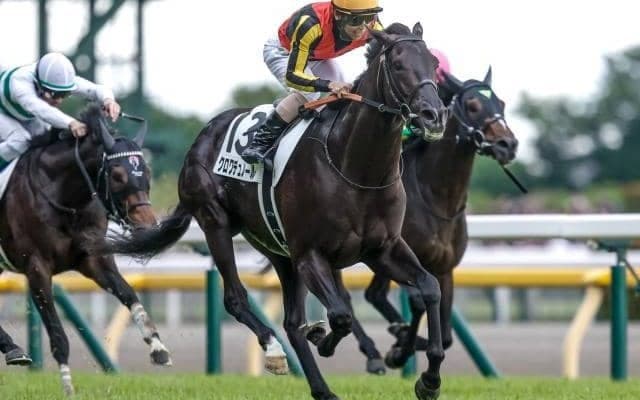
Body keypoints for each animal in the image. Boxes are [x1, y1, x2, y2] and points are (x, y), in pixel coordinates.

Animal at [0, 104, 172, 395]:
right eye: (117, 175)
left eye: (147, 173)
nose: (149, 226)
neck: (64, 198)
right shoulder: (36, 267)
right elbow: (58, 335)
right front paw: (68, 387)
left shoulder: (92, 258)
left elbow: (129, 294)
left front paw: (158, 347)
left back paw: (13, 349)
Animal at [102, 23, 448, 400]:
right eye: (398, 65)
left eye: (433, 64)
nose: (434, 115)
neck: (355, 168)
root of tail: (201, 138)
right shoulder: (310, 254)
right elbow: (341, 314)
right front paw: (325, 340)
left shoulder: (382, 249)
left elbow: (429, 287)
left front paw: (429, 379)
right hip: (216, 223)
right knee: (237, 300)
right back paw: (274, 351)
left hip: (277, 249)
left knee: (291, 322)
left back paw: (322, 388)